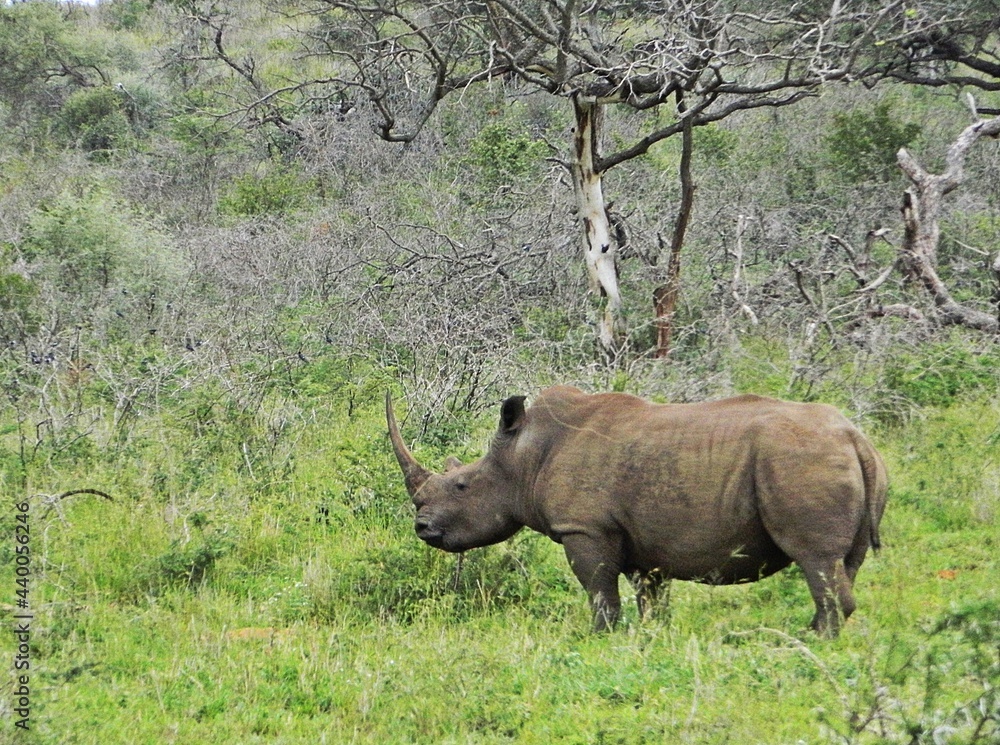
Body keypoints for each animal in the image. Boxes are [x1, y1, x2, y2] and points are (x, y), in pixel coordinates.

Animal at [387, 386, 888, 636]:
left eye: (462, 485)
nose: (422, 527)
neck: (524, 454)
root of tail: (855, 438)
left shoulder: (585, 528)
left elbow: (599, 590)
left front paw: (598, 639)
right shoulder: (646, 543)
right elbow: (651, 599)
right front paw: (652, 637)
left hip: (799, 462)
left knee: (814, 558)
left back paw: (811, 641)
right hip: (838, 462)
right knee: (843, 563)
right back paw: (814, 635)